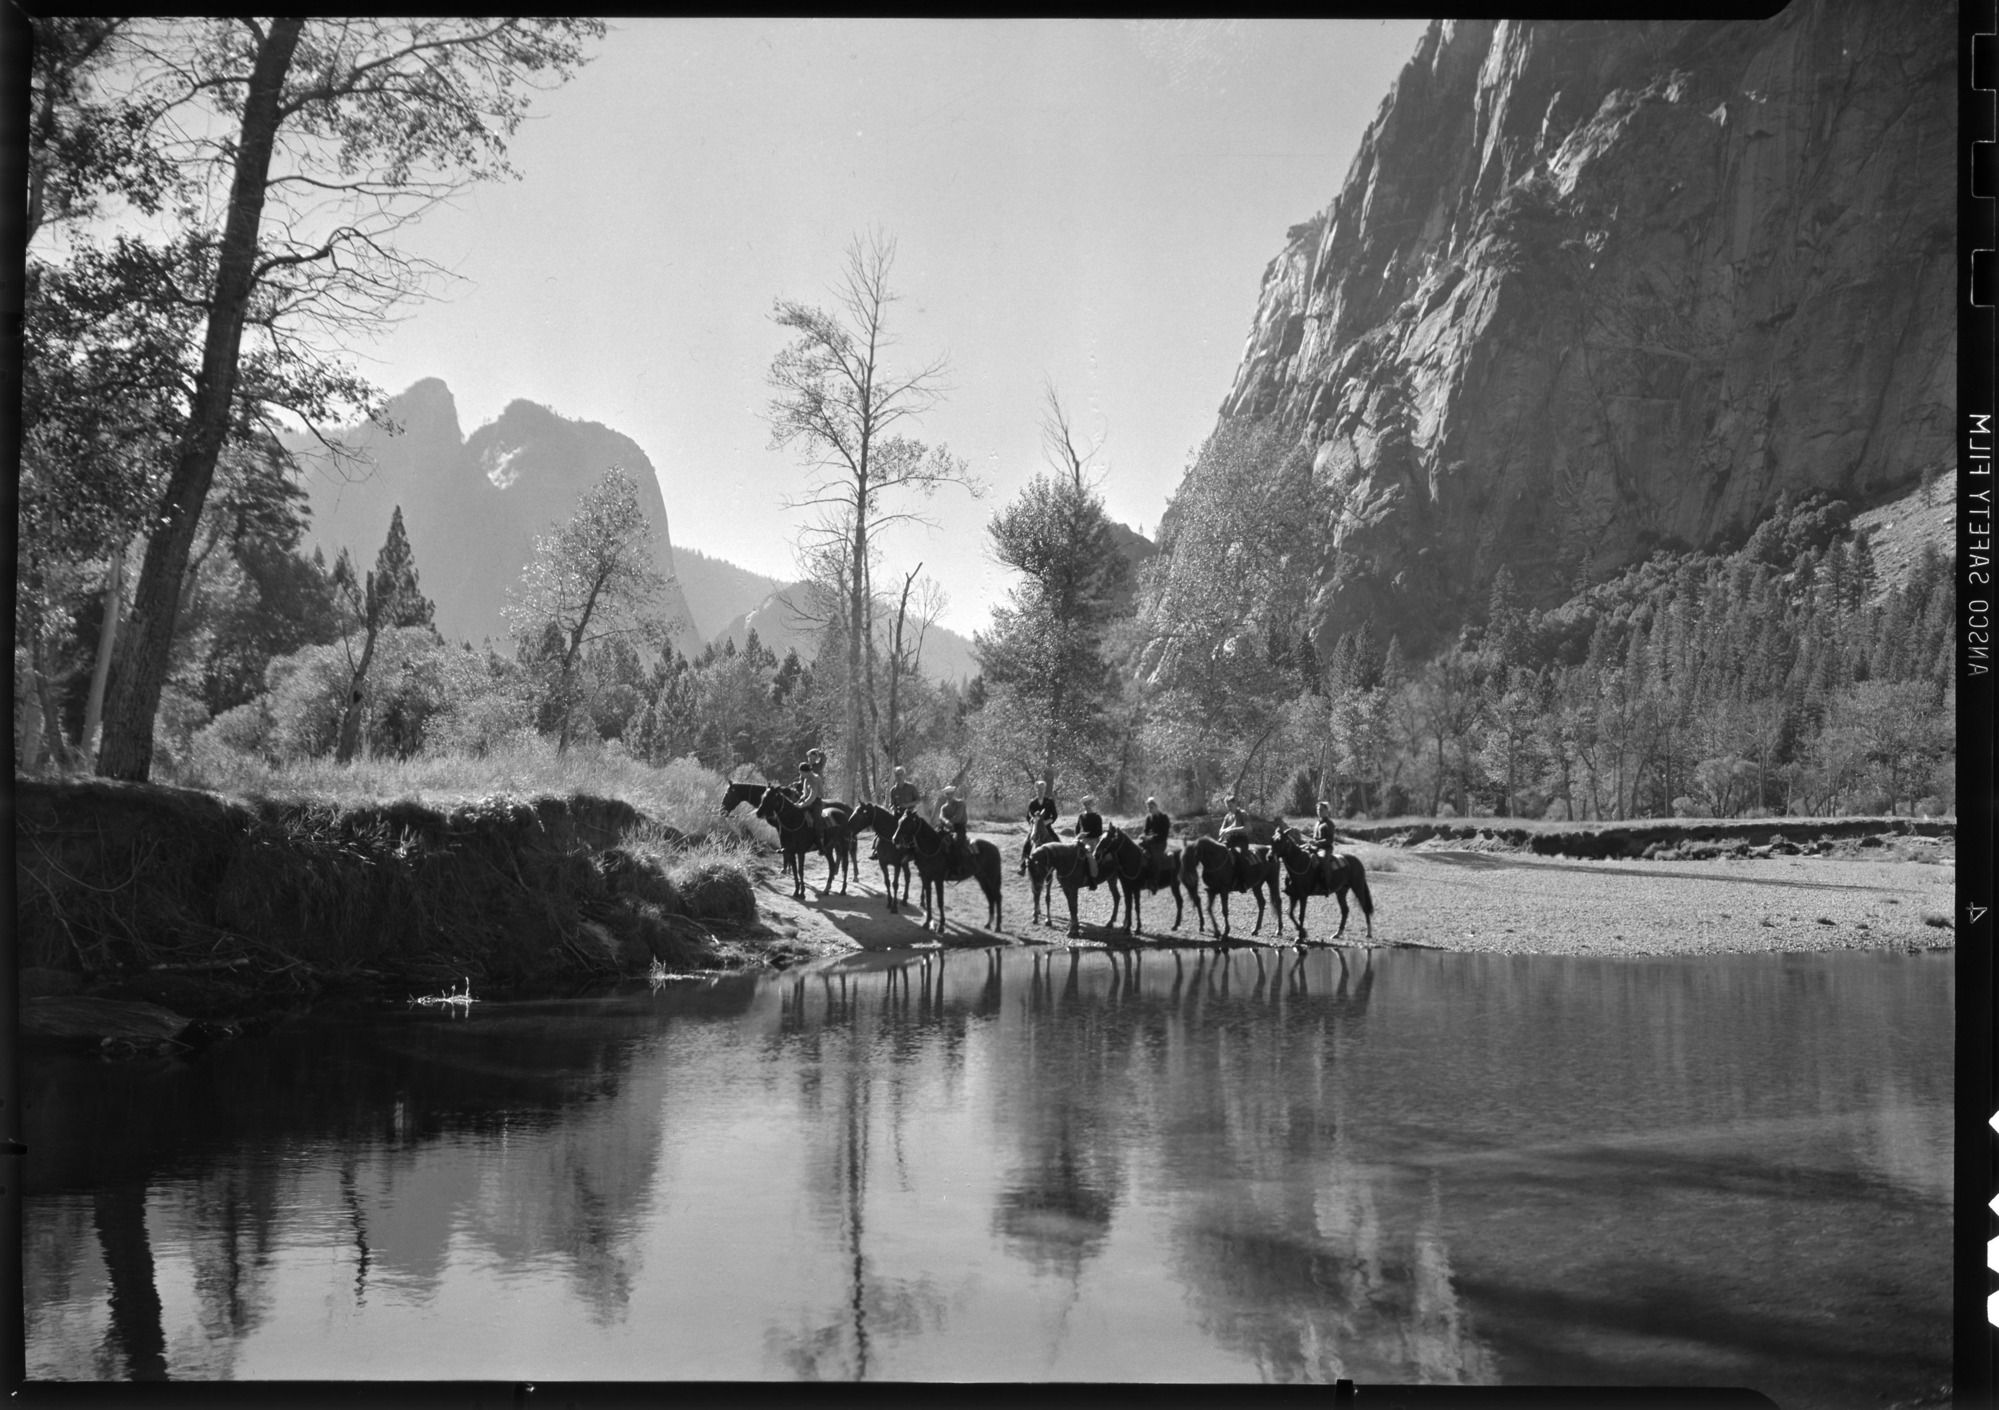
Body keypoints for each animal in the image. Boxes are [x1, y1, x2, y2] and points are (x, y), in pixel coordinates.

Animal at [895, 804, 1007, 936]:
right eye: (899, 821)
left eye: (907, 823)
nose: (894, 839)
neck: (932, 847)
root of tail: (995, 849)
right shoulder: (926, 878)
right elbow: (929, 900)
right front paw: (927, 923)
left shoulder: (938, 879)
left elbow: (940, 901)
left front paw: (941, 926)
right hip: (982, 878)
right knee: (990, 897)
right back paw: (988, 924)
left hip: (992, 878)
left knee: (997, 897)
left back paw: (998, 926)